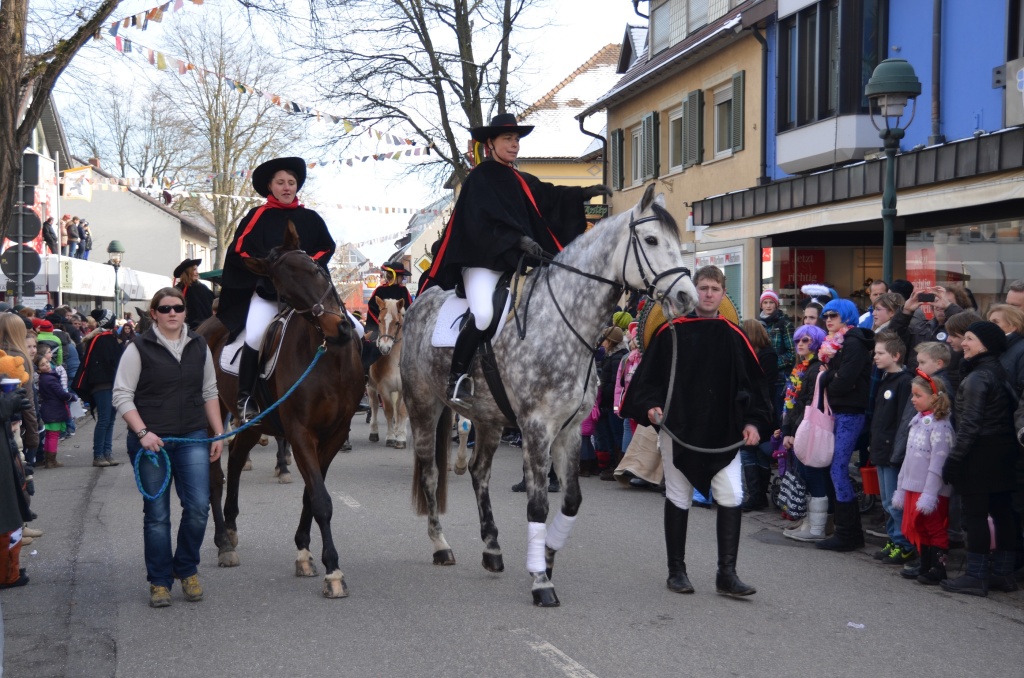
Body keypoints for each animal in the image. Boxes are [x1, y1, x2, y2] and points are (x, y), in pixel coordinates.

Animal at [197, 227, 362, 602]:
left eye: (317, 270)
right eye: (284, 292)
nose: (339, 329)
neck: (329, 359)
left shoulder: (333, 435)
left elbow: (311, 494)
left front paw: (304, 551)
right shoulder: (301, 433)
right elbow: (321, 500)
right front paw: (333, 571)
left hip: (250, 425)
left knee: (235, 462)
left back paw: (231, 528)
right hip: (211, 422)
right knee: (216, 476)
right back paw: (222, 542)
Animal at [368, 299, 407, 448]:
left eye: (397, 322)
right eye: (379, 320)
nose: (384, 348)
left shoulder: (404, 389)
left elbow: (401, 411)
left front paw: (400, 437)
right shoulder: (383, 388)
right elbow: (389, 411)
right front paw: (390, 437)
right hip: (370, 387)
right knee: (373, 405)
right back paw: (374, 432)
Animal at [399, 183, 696, 606]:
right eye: (652, 240)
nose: (688, 297)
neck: (562, 325)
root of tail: (417, 305)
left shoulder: (568, 431)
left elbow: (570, 500)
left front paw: (547, 557)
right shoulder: (537, 428)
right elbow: (537, 505)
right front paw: (541, 581)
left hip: (489, 420)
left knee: (478, 473)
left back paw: (492, 549)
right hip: (424, 408)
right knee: (429, 472)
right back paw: (441, 545)